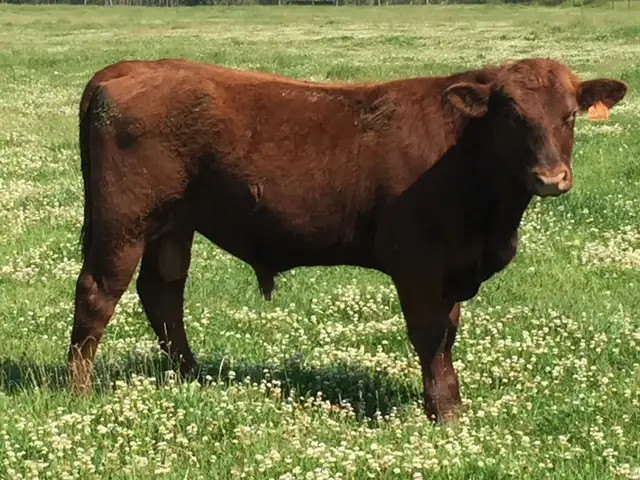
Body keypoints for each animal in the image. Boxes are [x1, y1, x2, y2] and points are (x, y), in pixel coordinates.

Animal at [67, 57, 627, 423]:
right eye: (513, 115)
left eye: (569, 115)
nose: (550, 177)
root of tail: (128, 68)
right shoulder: (418, 265)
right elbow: (430, 335)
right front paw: (443, 413)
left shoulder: (453, 269)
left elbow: (448, 333)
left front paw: (451, 404)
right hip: (124, 221)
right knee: (97, 293)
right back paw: (80, 391)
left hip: (173, 225)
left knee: (162, 293)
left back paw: (191, 375)